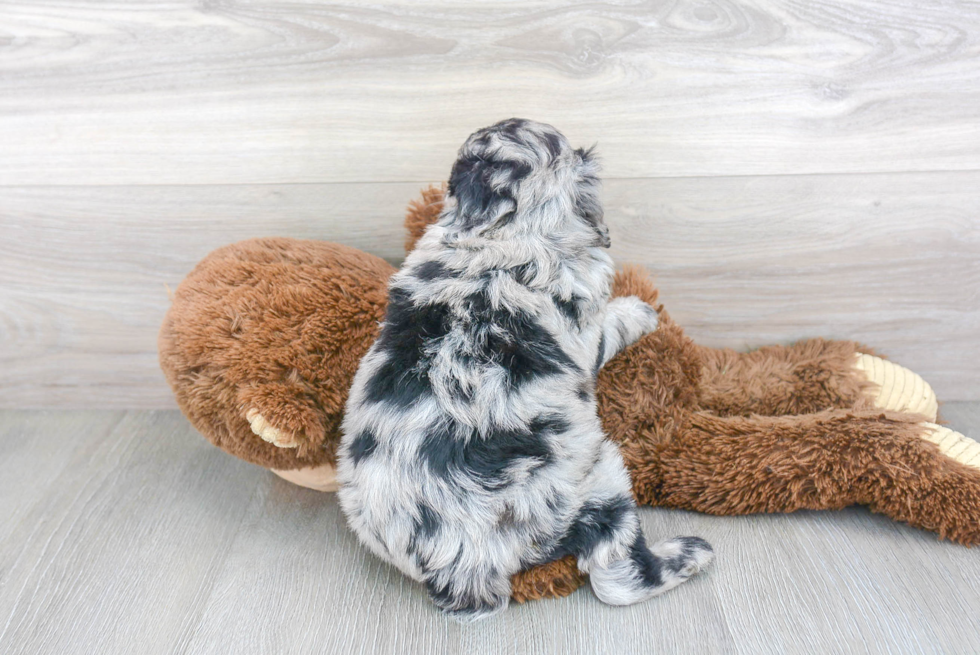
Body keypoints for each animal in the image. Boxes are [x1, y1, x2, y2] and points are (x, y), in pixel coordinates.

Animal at [336, 119, 712, 620]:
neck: (496, 231)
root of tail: (465, 567)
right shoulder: (588, 332)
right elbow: (612, 322)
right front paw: (640, 311)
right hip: (600, 479)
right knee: (615, 576)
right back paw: (689, 554)